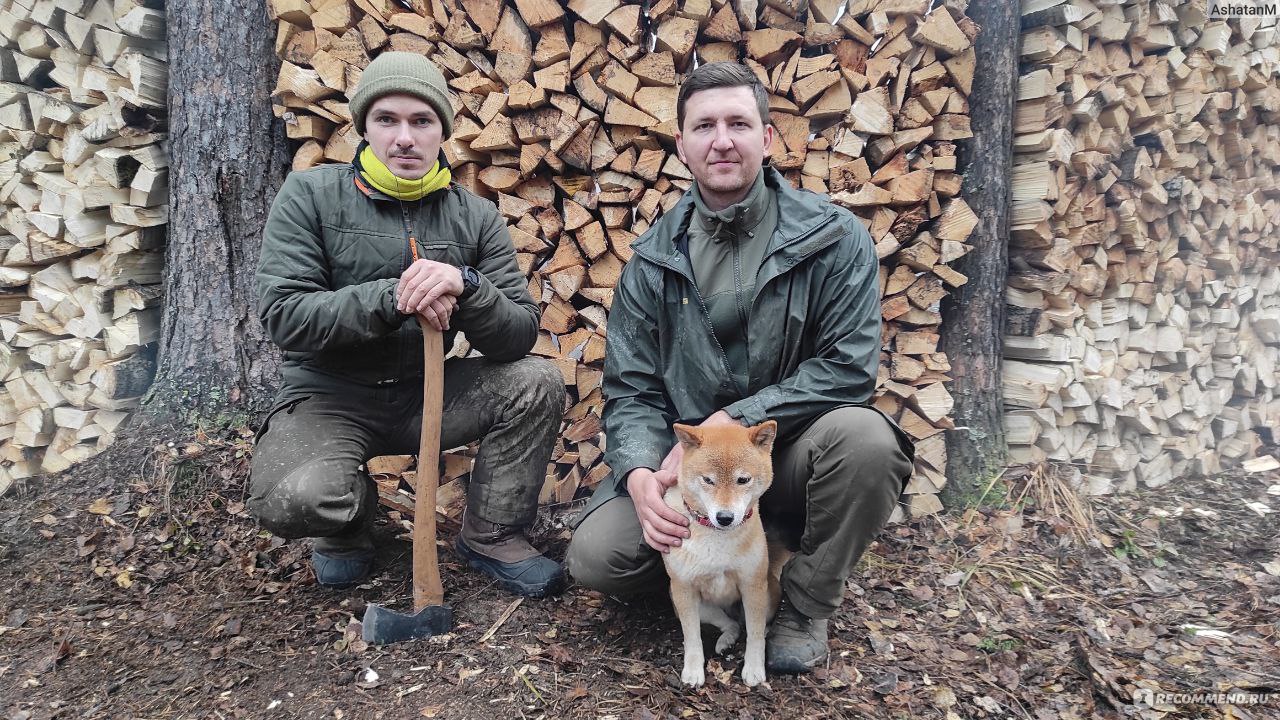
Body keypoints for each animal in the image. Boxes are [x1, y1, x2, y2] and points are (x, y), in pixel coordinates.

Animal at [665, 417, 783, 686]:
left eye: (743, 480)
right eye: (708, 480)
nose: (725, 517)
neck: (716, 536)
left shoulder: (752, 585)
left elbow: (755, 634)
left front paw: (754, 668)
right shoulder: (683, 589)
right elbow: (692, 637)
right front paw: (693, 670)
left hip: (768, 595)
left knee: (751, 626)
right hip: (688, 603)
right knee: (731, 624)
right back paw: (726, 640)